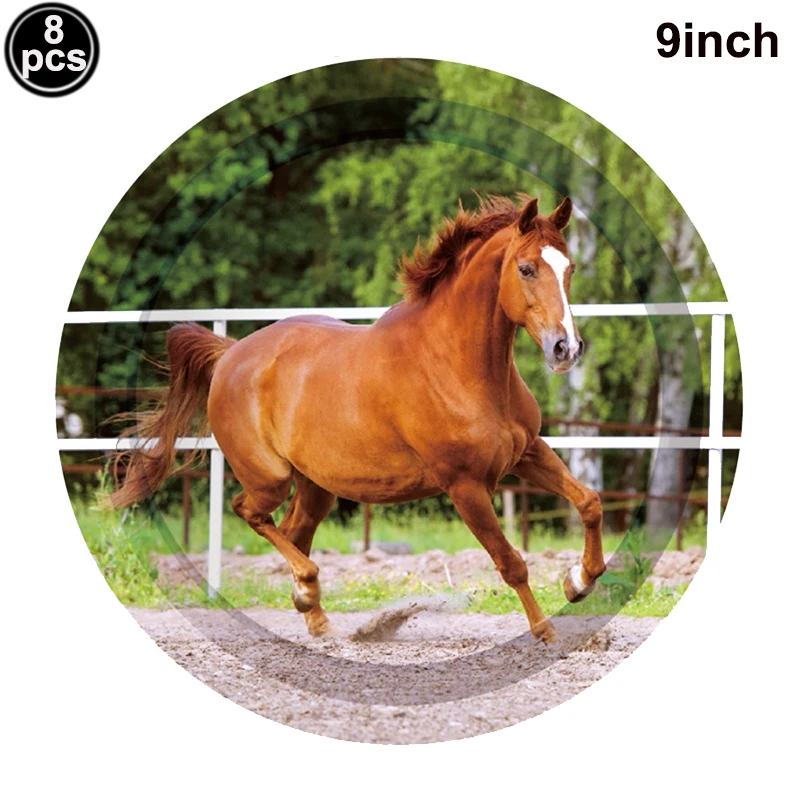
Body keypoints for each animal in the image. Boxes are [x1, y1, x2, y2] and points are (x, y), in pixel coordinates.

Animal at [109, 195, 605, 643]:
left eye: (569, 269)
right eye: (526, 269)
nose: (566, 348)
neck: (460, 367)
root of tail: (231, 353)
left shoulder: (527, 453)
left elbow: (589, 502)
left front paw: (578, 582)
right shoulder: (465, 485)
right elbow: (511, 562)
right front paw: (545, 630)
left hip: (316, 486)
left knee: (292, 530)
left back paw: (315, 615)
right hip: (269, 478)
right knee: (249, 512)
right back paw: (309, 588)